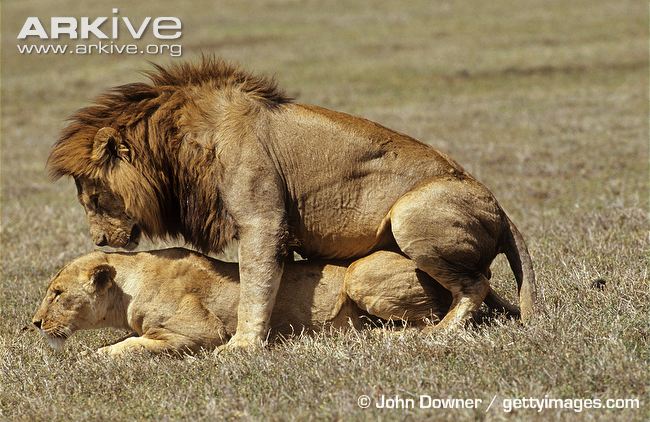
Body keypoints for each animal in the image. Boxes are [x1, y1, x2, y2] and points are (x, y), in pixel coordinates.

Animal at [47, 57, 538, 350]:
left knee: (475, 283)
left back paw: (440, 333)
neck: (182, 150)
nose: (100, 241)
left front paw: (241, 349)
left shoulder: (263, 220)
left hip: (410, 213)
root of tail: (500, 208)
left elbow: (256, 286)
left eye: (94, 196)